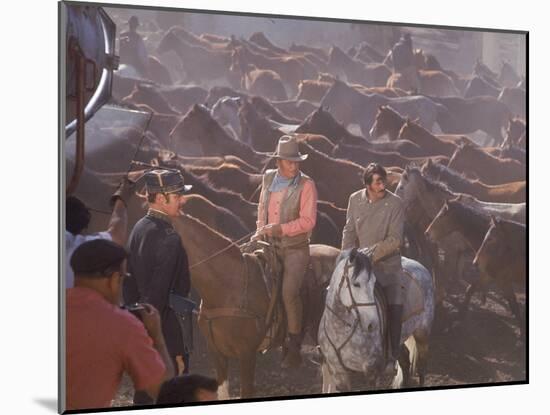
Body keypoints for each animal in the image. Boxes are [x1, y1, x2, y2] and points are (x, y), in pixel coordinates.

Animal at [320, 249, 436, 394]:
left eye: (373, 283)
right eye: (356, 284)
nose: (372, 324)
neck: (340, 330)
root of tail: (421, 267)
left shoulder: (371, 370)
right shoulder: (338, 372)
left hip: (422, 334)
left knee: (421, 366)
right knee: (404, 361)